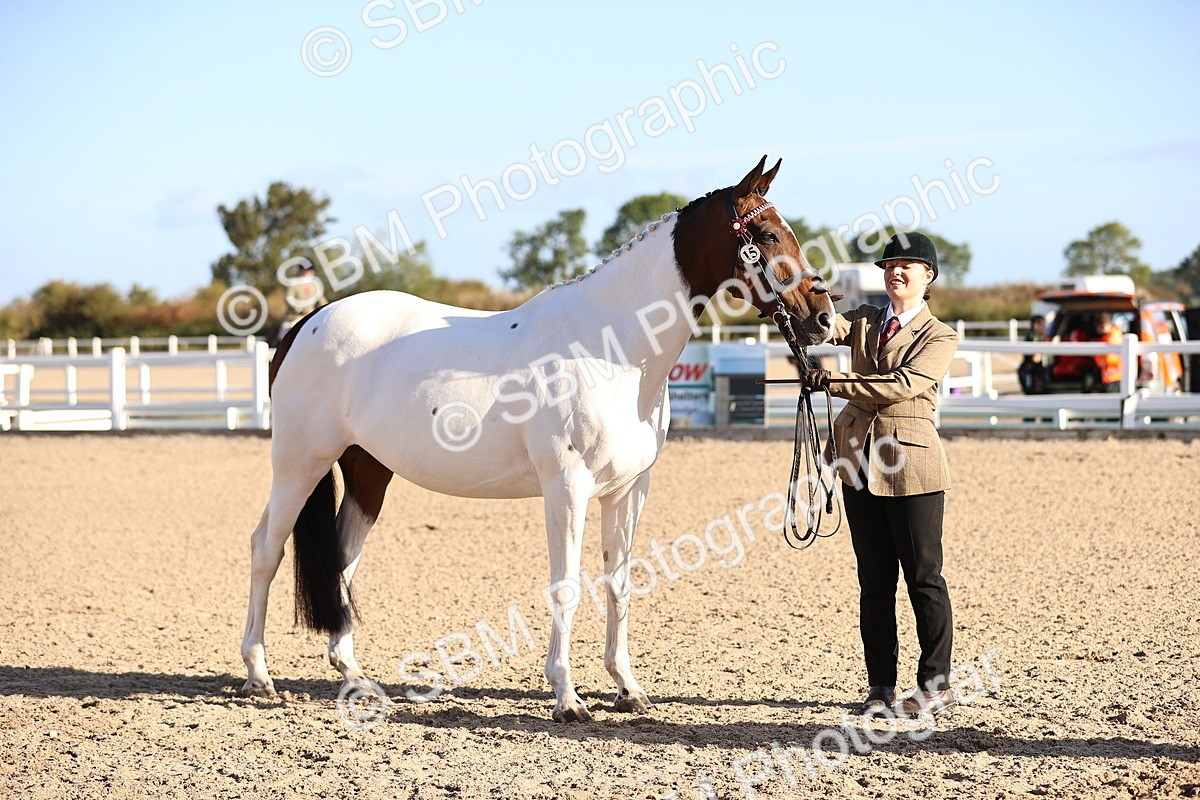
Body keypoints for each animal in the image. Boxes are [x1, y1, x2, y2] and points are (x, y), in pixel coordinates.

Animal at [239, 156, 837, 722]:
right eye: (767, 235)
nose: (824, 317)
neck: (613, 347)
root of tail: (307, 324)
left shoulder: (628, 490)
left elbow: (619, 583)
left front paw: (628, 689)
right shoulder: (566, 487)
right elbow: (567, 586)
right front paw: (568, 698)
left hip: (368, 470)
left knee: (343, 560)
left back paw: (354, 676)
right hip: (300, 462)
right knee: (267, 548)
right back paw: (259, 675)